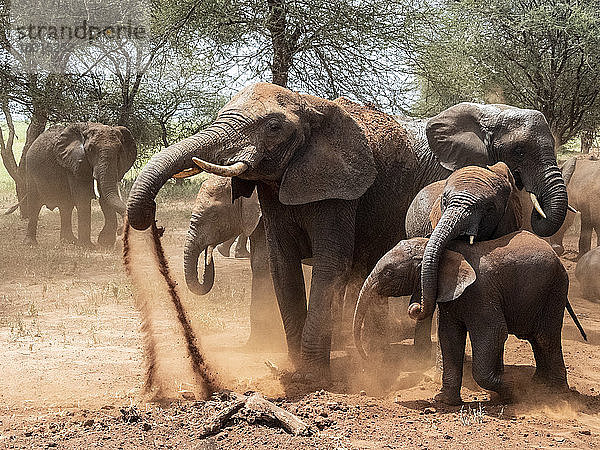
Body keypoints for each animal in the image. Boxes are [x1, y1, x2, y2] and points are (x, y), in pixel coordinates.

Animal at [356, 232, 584, 404]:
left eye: (388, 273)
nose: (368, 360)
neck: (441, 253)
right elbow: (449, 338)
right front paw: (445, 401)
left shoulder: (481, 293)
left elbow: (493, 332)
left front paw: (512, 391)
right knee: (535, 338)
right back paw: (539, 384)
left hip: (555, 288)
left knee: (546, 337)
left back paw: (556, 393)